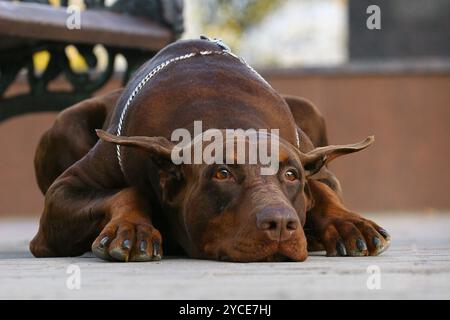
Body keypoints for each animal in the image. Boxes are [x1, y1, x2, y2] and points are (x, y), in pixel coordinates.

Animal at [30, 38, 390, 262]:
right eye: (222, 173)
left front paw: (348, 224)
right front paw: (131, 228)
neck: (220, 108)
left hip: (308, 107)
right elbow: (128, 191)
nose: (281, 224)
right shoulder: (63, 196)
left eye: (292, 175)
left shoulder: (316, 168)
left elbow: (322, 189)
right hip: (66, 123)